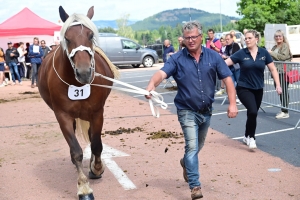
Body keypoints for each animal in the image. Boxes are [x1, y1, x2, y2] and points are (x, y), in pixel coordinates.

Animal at [37, 5, 118, 199]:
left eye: (90, 35)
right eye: (67, 37)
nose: (84, 72)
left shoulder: (97, 113)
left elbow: (96, 144)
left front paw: (96, 169)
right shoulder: (63, 116)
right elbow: (76, 151)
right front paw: (83, 187)